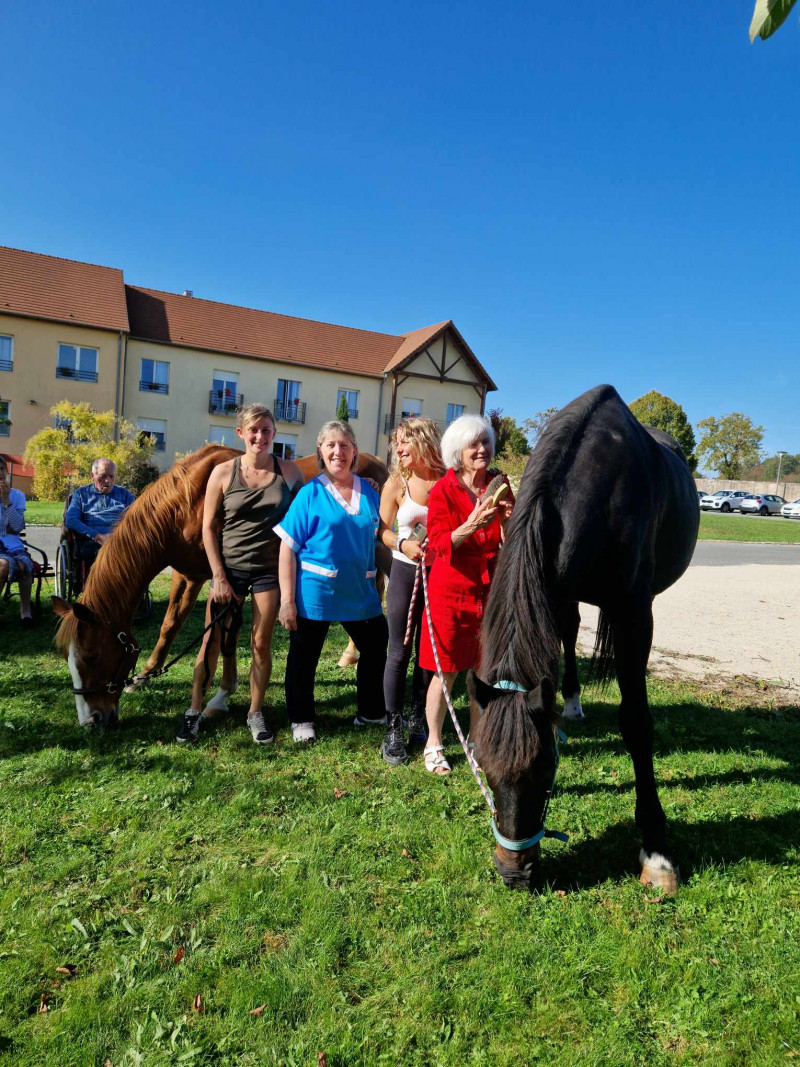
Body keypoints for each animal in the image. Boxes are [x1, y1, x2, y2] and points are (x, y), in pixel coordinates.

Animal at [51, 441, 390, 725]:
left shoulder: (223, 579)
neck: (187, 503)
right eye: (68, 658)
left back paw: (353, 656)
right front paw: (146, 675)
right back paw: (350, 656)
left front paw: (220, 695)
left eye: (91, 656)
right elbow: (171, 625)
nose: (91, 720)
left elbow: (227, 636)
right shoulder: (189, 575)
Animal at [473, 384, 699, 892]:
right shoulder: (555, 586)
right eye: (482, 766)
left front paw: (657, 851)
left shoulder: (635, 610)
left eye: (543, 770)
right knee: (572, 631)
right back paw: (572, 702)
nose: (513, 874)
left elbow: (636, 722)